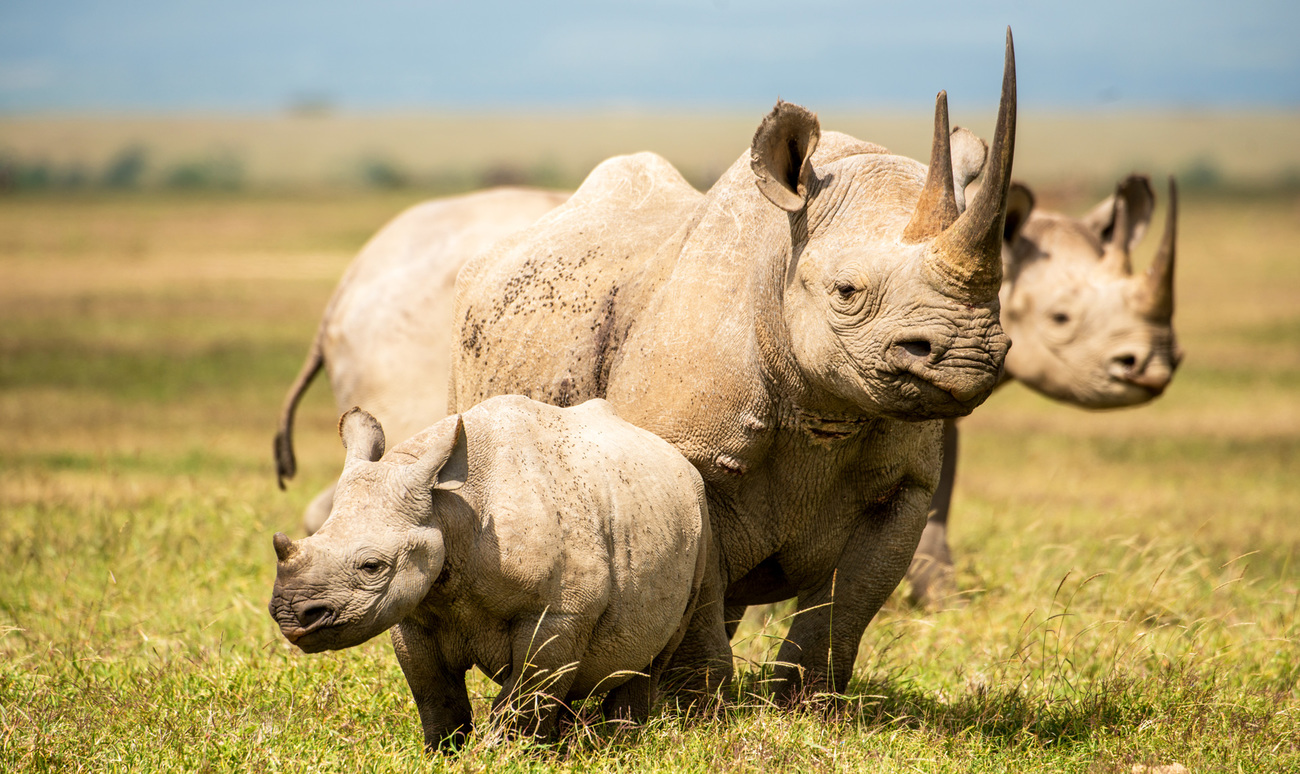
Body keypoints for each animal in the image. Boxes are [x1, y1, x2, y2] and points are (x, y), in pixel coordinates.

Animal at [266, 395, 712, 749]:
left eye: (372, 566)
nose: (289, 615)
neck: (449, 511)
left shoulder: (558, 612)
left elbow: (522, 695)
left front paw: (504, 753)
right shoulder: (414, 614)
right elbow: (435, 694)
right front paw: (443, 753)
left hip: (700, 514)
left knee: (655, 652)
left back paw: (621, 740)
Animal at [447, 36, 1024, 697]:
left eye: (1001, 296)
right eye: (847, 292)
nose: (971, 354)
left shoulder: (905, 483)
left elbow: (851, 599)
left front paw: (809, 703)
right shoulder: (684, 454)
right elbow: (701, 581)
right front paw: (700, 706)